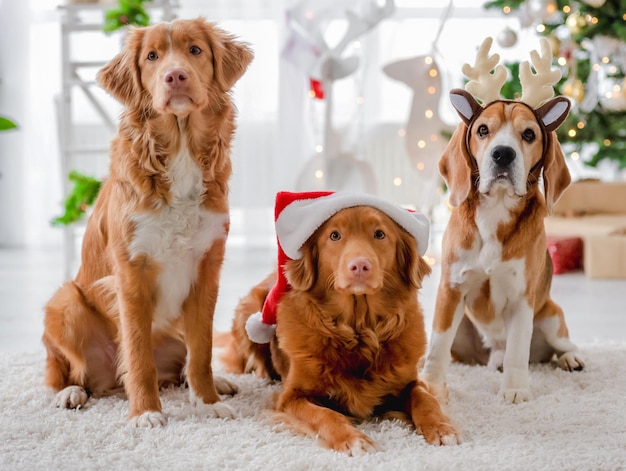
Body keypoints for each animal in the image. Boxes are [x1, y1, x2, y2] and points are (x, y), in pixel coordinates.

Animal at [42, 18, 252, 426]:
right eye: (152, 57)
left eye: (195, 50)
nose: (175, 76)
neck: (180, 149)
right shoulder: (131, 272)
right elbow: (138, 355)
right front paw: (145, 413)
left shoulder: (207, 269)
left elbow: (202, 350)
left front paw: (207, 401)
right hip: (65, 301)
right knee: (64, 370)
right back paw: (70, 392)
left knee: (183, 361)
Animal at [219, 193, 458, 458]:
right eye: (334, 236)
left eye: (379, 234)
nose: (360, 266)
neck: (358, 330)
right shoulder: (291, 397)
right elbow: (326, 415)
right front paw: (352, 439)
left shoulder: (409, 382)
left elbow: (425, 398)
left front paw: (441, 427)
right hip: (248, 311)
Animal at [420, 37, 584, 406]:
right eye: (483, 130)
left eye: (529, 134)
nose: (503, 154)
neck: (495, 211)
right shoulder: (449, 291)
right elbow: (437, 348)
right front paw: (431, 386)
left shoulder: (523, 298)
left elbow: (517, 351)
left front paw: (515, 389)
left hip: (550, 317)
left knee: (559, 344)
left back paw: (570, 358)